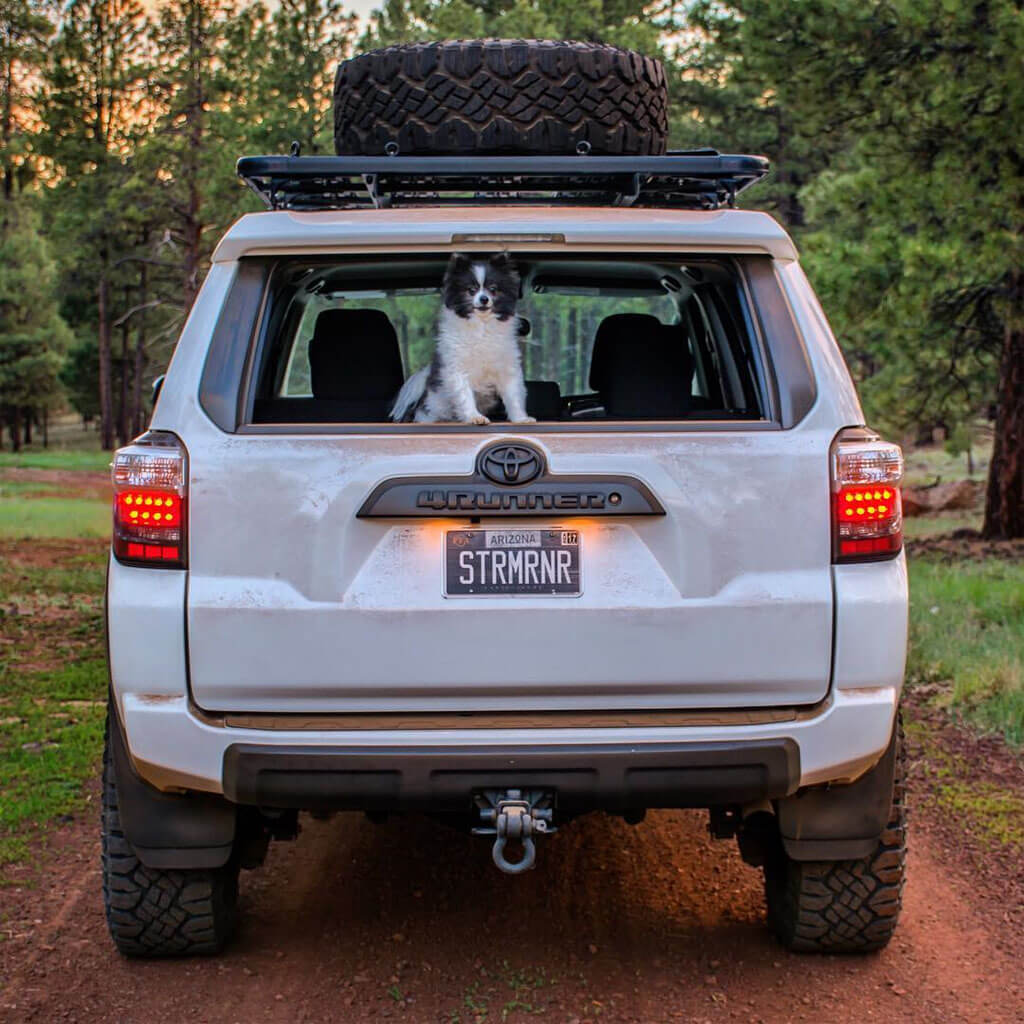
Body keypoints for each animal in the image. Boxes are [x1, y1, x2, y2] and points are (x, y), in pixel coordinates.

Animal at [389, 252, 536, 423]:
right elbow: (465, 395)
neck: (482, 326)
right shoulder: (458, 368)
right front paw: (474, 417)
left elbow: (513, 397)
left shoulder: (507, 368)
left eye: (493, 289)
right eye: (471, 290)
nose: (484, 299)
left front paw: (521, 418)